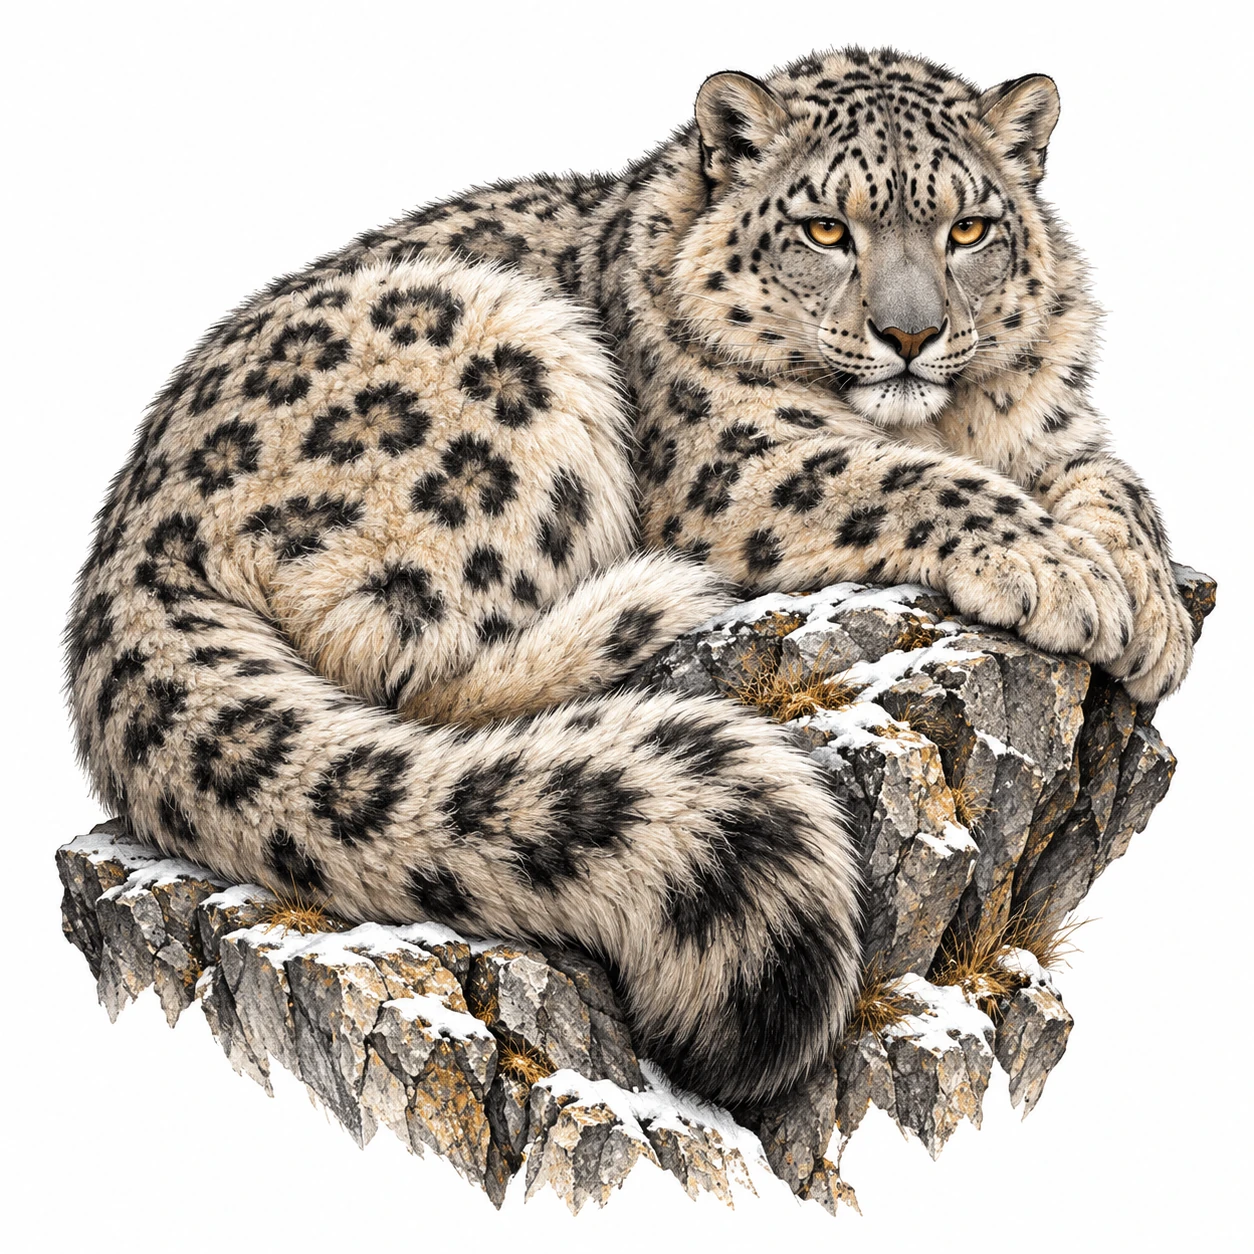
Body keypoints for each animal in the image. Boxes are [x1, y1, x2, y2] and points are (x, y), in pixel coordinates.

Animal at [65, 46, 1194, 1112]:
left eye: (968, 229)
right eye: (826, 229)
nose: (910, 336)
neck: (951, 418)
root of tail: (130, 536)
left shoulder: (1055, 431)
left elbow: (1120, 483)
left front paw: (1150, 610)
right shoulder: (737, 458)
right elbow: (900, 475)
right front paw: (1064, 574)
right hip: (501, 358)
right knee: (416, 667)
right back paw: (649, 600)